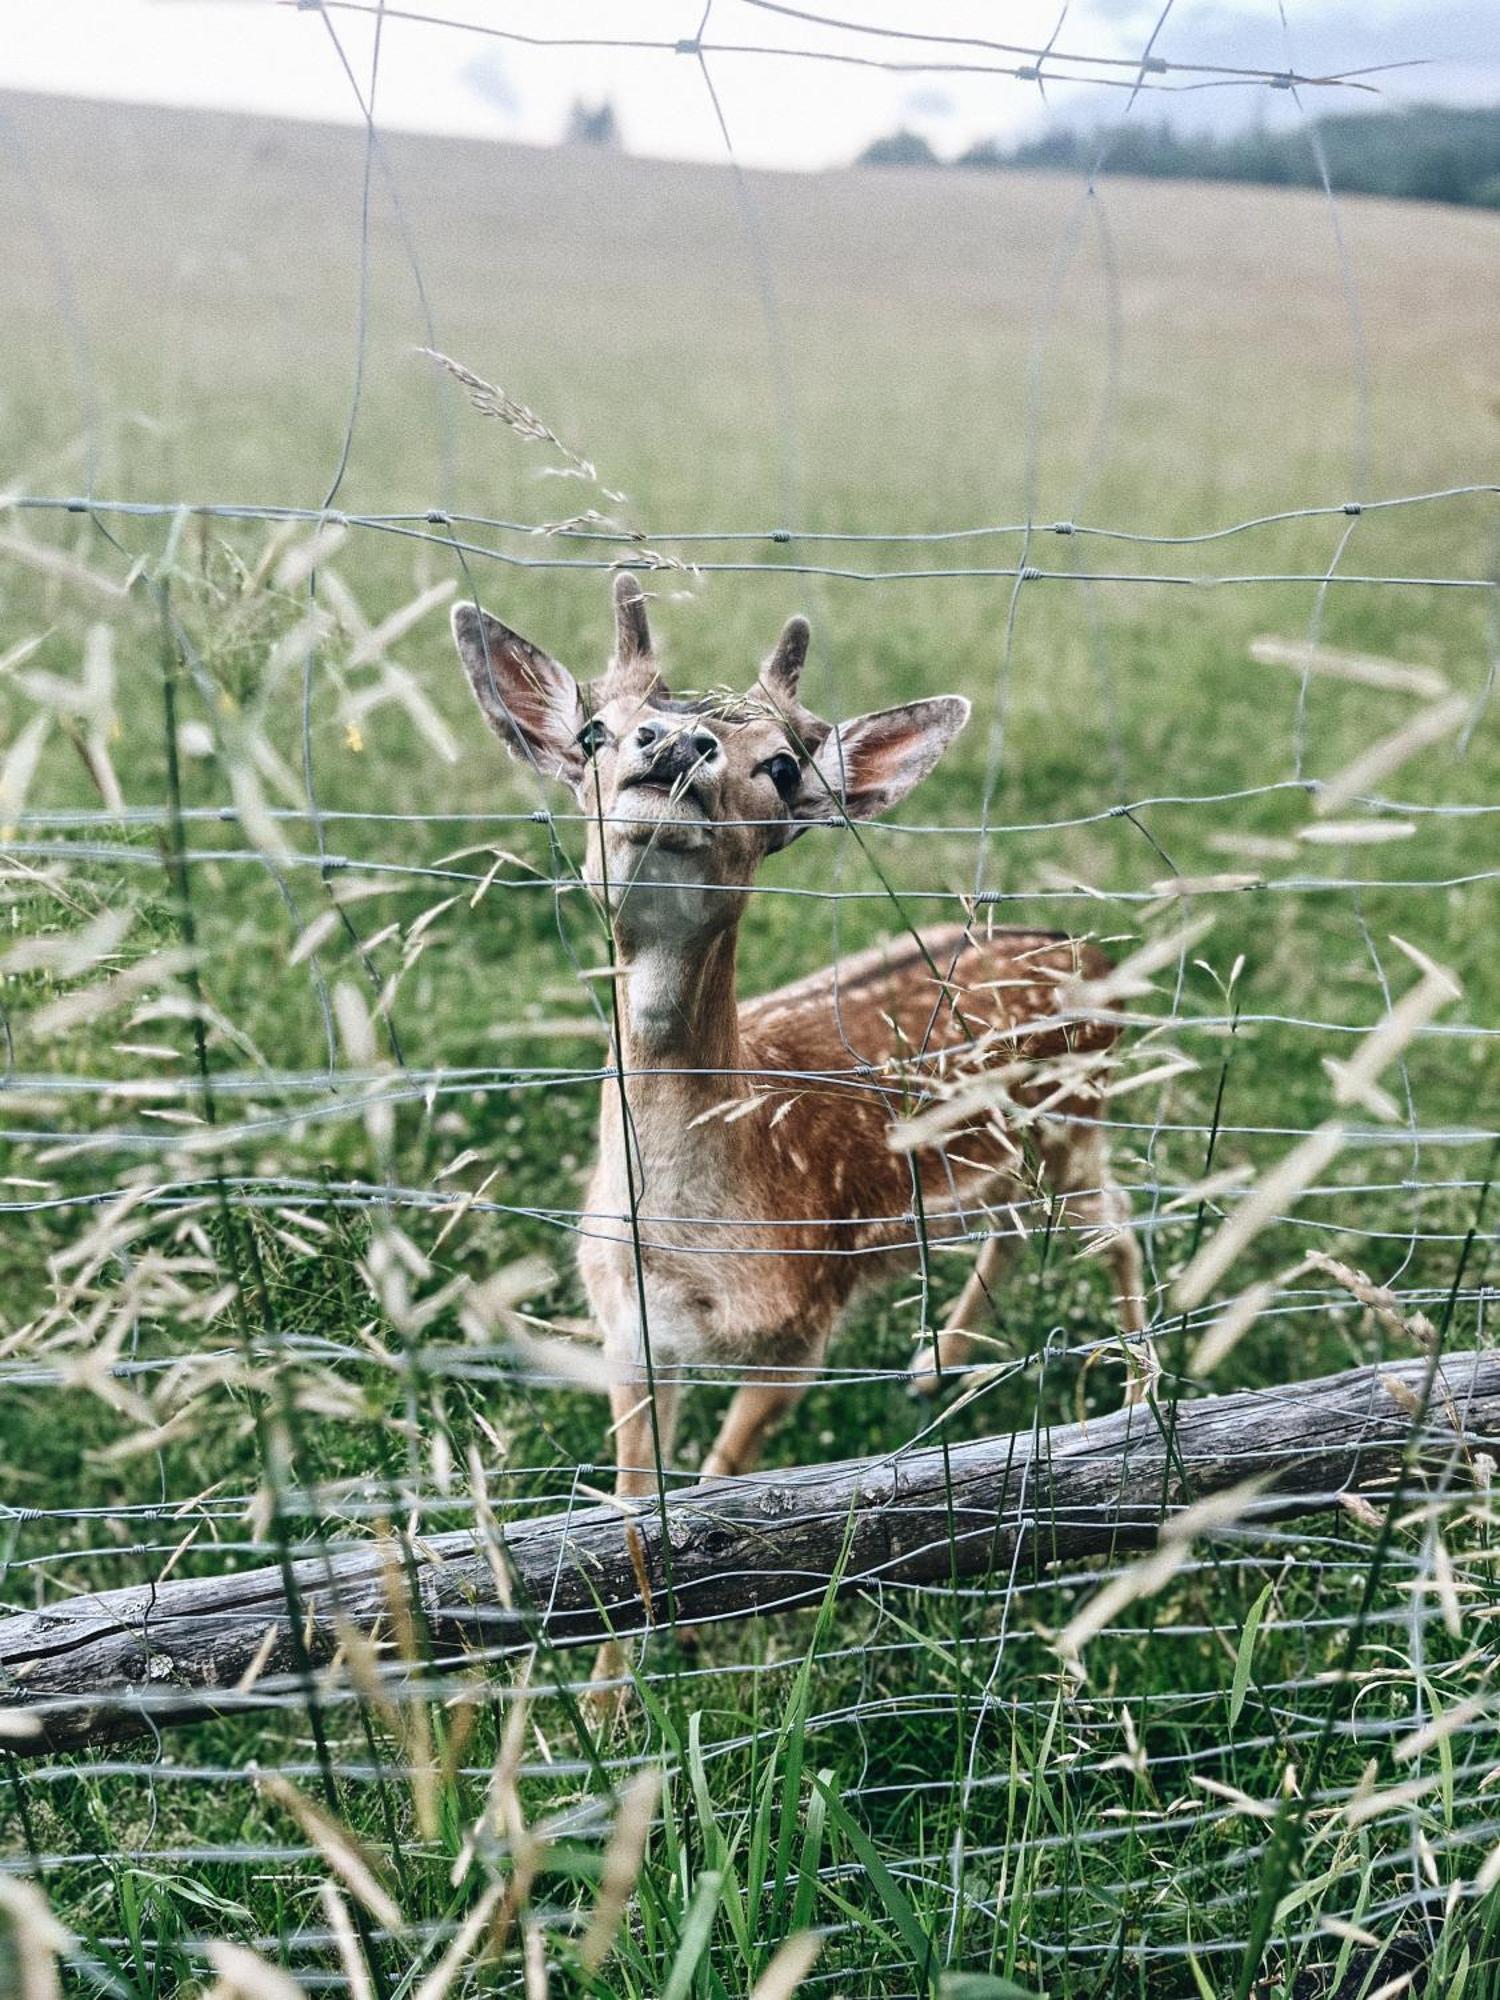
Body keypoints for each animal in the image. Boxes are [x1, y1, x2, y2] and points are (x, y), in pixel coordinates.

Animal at [446, 572, 1152, 1680]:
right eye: (595, 730)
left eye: (780, 767)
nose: (673, 744)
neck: (694, 1246)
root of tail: (1089, 948)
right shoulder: (627, 1329)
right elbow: (631, 1520)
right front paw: (608, 1699)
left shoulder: (807, 1320)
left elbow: (720, 1481)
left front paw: (693, 1629)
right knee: (1009, 1225)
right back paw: (934, 1364)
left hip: (1078, 1116)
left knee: (1116, 1224)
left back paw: (1142, 1406)